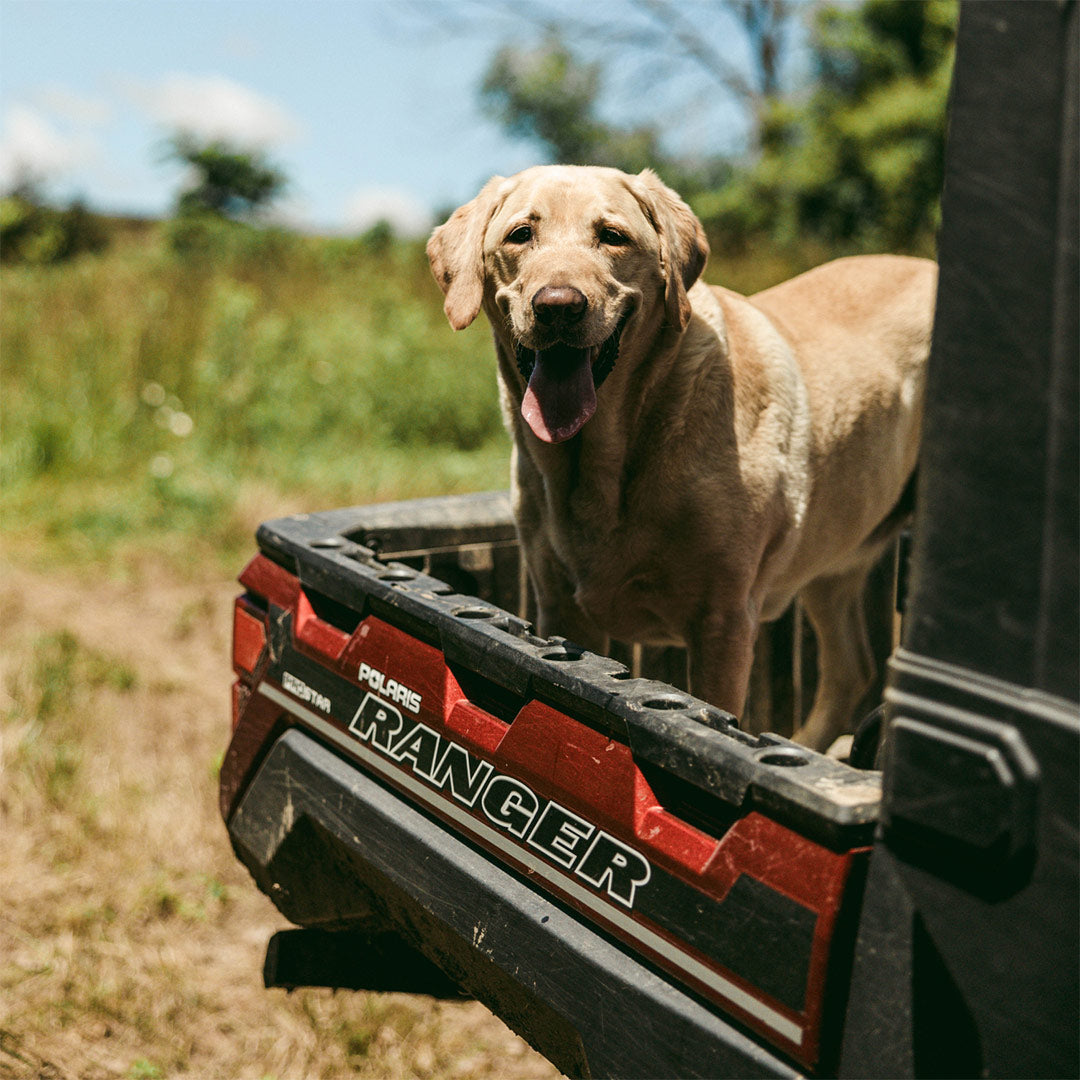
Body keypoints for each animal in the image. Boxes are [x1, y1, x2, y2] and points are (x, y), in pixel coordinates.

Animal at [425, 166, 933, 751]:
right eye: (520, 234)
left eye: (612, 236)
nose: (558, 305)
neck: (609, 456)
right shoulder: (562, 611)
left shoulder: (722, 624)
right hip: (836, 560)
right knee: (853, 669)